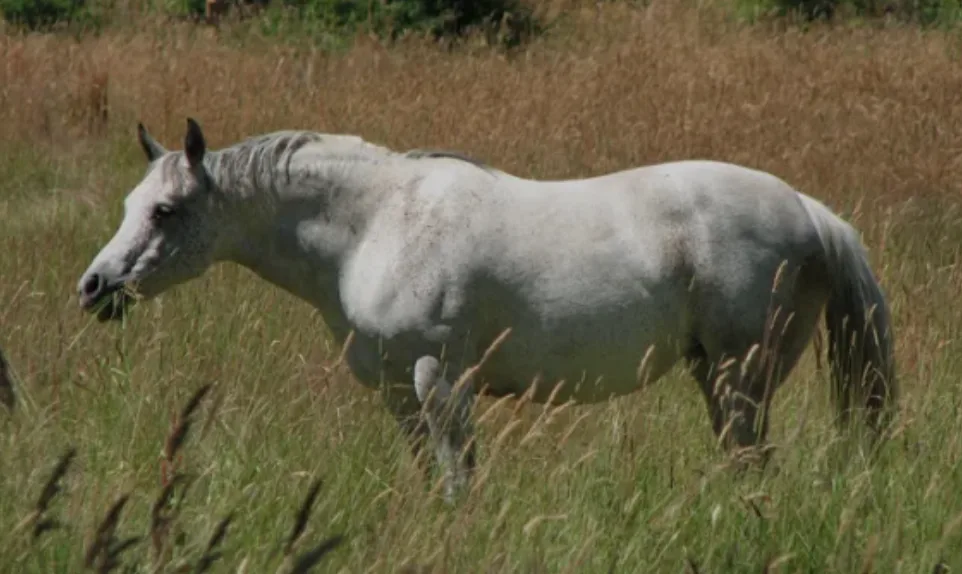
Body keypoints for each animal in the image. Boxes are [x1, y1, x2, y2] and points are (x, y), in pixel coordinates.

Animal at [76, 118, 897, 502]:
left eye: (167, 211)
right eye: (130, 204)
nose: (95, 287)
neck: (375, 225)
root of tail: (806, 209)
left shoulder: (441, 379)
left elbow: (457, 479)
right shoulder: (397, 392)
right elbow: (430, 476)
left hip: (739, 377)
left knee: (751, 464)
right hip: (718, 377)